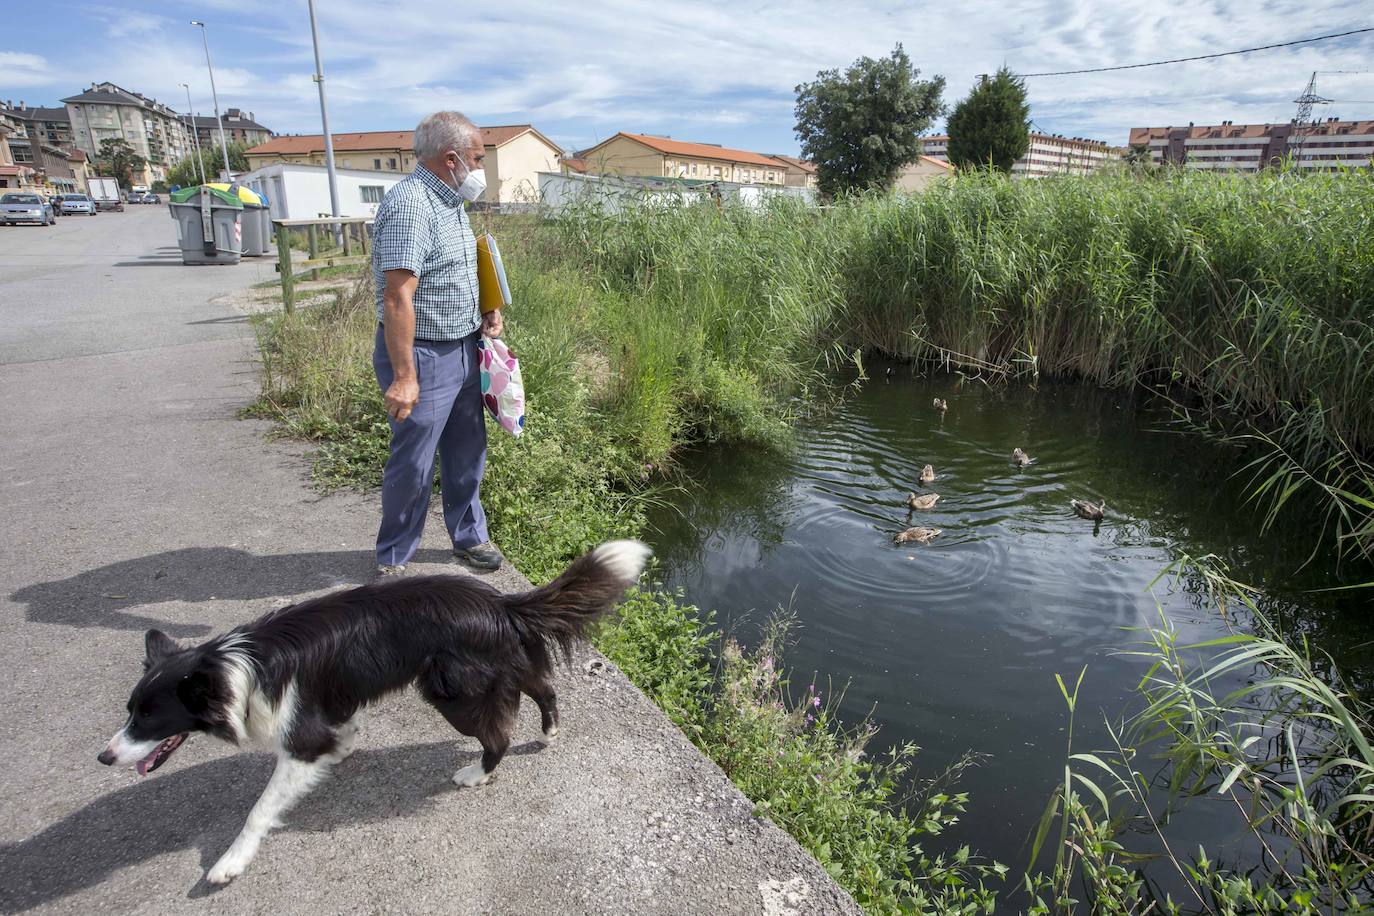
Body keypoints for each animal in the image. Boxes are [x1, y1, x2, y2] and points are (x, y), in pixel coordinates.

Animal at [99, 541, 651, 884]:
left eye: (148, 718)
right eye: (130, 710)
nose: (104, 757)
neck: (234, 669)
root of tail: (503, 604)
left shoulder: (298, 736)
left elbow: (260, 807)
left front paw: (229, 863)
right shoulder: (331, 703)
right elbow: (339, 731)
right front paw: (343, 748)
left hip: (452, 691)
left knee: (499, 736)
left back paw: (476, 773)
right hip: (503, 666)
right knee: (544, 688)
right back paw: (551, 731)